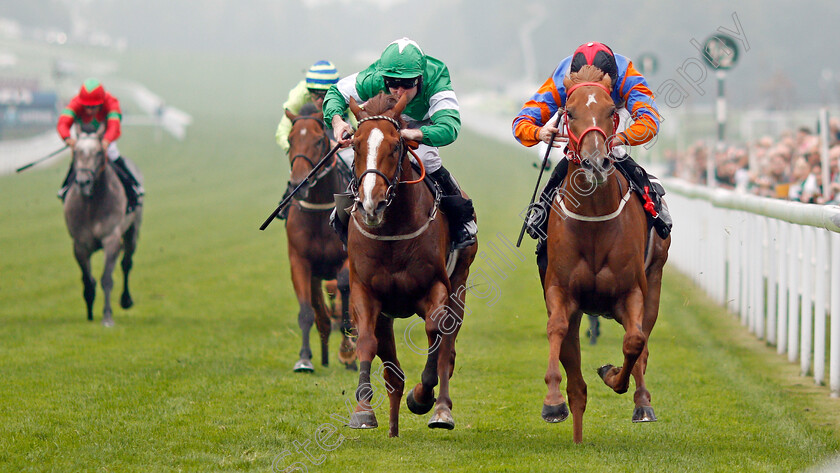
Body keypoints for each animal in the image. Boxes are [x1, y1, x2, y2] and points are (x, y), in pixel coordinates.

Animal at [65, 123, 144, 326]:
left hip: (132, 230)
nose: (83, 182)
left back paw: (125, 300)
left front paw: (107, 316)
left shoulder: (111, 239)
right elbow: (87, 280)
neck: (91, 204)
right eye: (76, 152)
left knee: (126, 263)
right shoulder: (79, 245)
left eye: (99, 152)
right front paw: (90, 312)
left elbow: (107, 278)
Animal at [284, 104, 356, 372]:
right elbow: (306, 311)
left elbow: (344, 287)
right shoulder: (300, 261)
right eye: (290, 139)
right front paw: (304, 358)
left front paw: (347, 351)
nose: (299, 183)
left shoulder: (347, 258)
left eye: (318, 140)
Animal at [342, 91, 472, 436]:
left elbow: (435, 331)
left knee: (446, 348)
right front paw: (363, 410)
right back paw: (393, 428)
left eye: (396, 146)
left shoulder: (437, 287)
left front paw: (422, 397)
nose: (371, 204)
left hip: (460, 286)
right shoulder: (364, 292)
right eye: (355, 145)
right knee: (393, 373)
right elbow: (366, 341)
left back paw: (441, 410)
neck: (392, 231)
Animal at [540, 65, 672, 442]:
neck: (595, 221)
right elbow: (556, 329)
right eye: (569, 113)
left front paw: (614, 376)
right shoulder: (560, 290)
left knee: (643, 342)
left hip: (655, 279)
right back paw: (576, 429)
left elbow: (634, 342)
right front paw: (552, 402)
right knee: (576, 378)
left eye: (611, 110)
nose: (596, 162)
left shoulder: (632, 292)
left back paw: (642, 403)